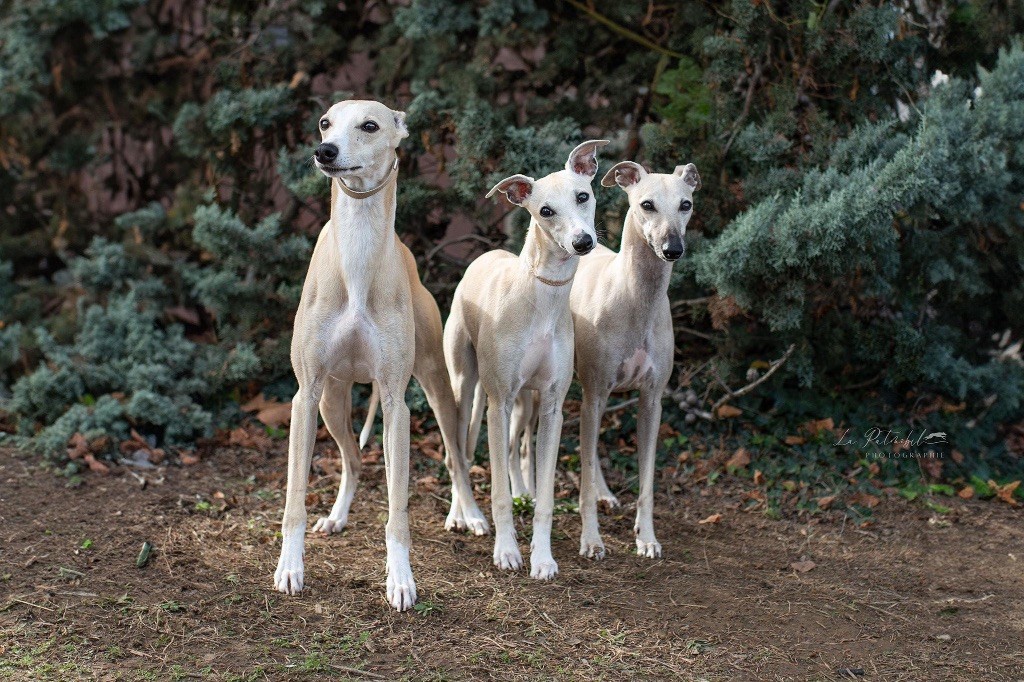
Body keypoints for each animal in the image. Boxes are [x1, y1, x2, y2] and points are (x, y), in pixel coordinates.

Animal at [274, 96, 489, 610]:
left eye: (369, 126)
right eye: (325, 122)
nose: (324, 151)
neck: (358, 254)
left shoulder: (394, 401)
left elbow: (398, 511)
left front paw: (401, 579)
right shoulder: (305, 396)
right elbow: (294, 499)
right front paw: (290, 567)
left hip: (434, 387)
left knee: (454, 456)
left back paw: (470, 513)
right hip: (332, 402)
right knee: (353, 459)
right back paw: (336, 516)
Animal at [442, 140, 602, 577]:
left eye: (583, 196)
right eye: (545, 211)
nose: (583, 242)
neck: (542, 297)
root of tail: (485, 255)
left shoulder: (551, 406)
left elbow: (546, 496)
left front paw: (542, 558)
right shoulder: (497, 404)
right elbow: (497, 492)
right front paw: (507, 552)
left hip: (524, 403)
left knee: (516, 450)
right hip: (468, 390)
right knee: (458, 453)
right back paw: (461, 515)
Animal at [573, 159, 700, 557]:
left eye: (686, 204)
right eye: (647, 205)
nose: (672, 248)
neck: (634, 298)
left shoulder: (651, 399)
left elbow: (646, 481)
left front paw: (646, 537)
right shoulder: (596, 391)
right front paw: (591, 539)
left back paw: (604, 492)